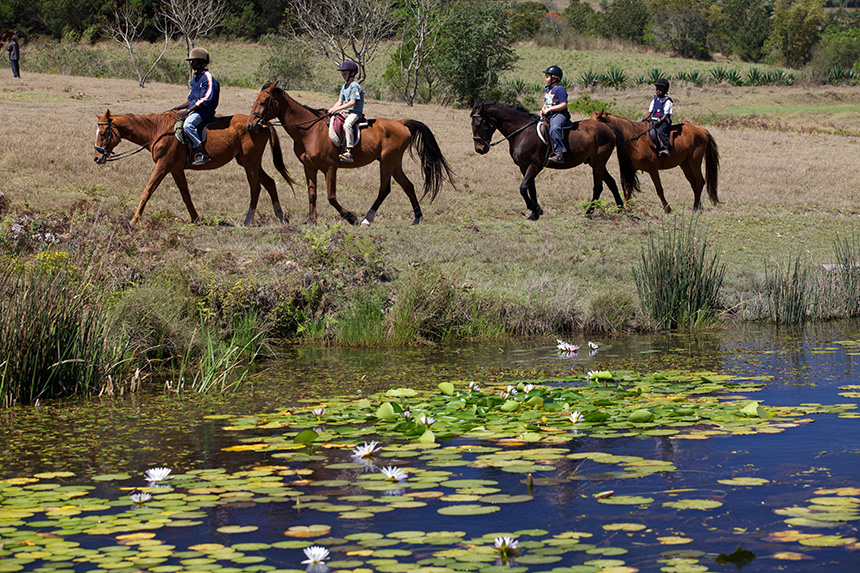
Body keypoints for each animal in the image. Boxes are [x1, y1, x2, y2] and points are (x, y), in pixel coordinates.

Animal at [94, 110, 294, 226]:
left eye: (103, 134)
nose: (97, 157)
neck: (157, 131)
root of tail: (261, 123)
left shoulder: (163, 166)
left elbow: (147, 191)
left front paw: (134, 220)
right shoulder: (175, 169)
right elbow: (186, 195)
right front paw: (196, 219)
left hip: (250, 162)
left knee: (256, 187)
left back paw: (248, 220)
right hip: (248, 162)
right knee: (270, 182)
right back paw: (279, 215)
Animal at [246, 81, 454, 226]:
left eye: (263, 102)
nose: (250, 125)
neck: (309, 131)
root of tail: (401, 123)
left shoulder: (330, 167)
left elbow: (331, 197)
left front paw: (350, 217)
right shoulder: (309, 167)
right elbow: (312, 194)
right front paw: (311, 220)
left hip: (386, 161)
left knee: (384, 189)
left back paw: (366, 219)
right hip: (395, 163)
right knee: (408, 186)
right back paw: (417, 218)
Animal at [470, 103, 640, 220]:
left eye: (480, 124)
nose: (480, 149)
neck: (522, 132)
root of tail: (607, 127)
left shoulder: (535, 165)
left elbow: (523, 188)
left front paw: (535, 209)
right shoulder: (524, 167)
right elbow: (531, 188)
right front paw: (535, 213)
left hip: (598, 163)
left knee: (598, 187)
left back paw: (589, 212)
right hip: (595, 163)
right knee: (611, 182)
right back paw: (620, 208)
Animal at [590, 110, 720, 213]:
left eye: (598, 122)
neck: (634, 139)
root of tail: (700, 130)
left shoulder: (652, 169)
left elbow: (659, 189)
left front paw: (667, 209)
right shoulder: (631, 169)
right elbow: (627, 189)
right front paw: (626, 207)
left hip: (695, 162)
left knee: (700, 182)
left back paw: (696, 208)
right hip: (685, 164)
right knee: (694, 183)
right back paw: (697, 205)